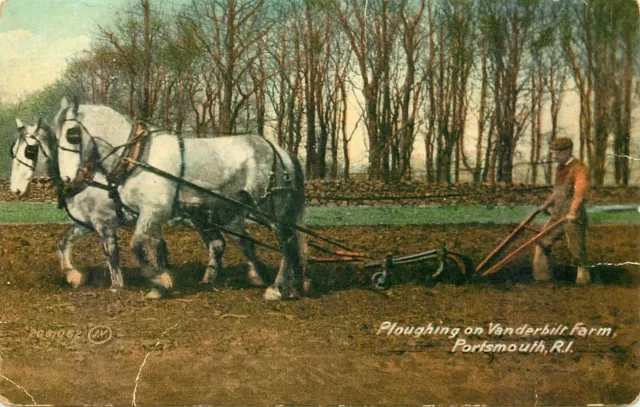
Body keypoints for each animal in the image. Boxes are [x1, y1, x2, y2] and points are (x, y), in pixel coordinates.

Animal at [53, 99, 306, 300]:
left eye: (72, 134)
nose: (68, 179)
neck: (139, 156)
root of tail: (280, 151)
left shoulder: (152, 211)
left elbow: (137, 246)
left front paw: (160, 282)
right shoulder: (122, 218)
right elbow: (67, 241)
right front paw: (74, 276)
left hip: (269, 208)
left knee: (287, 242)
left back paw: (277, 289)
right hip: (227, 213)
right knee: (241, 243)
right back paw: (290, 284)